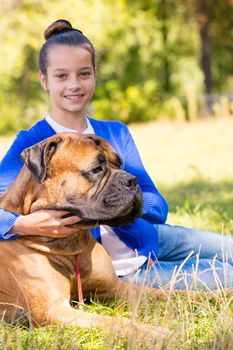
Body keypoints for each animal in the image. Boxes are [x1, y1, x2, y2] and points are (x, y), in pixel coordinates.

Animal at [0, 133, 166, 338]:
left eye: (120, 164)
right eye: (96, 169)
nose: (132, 180)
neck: (69, 244)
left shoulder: (117, 288)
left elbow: (167, 293)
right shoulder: (54, 310)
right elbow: (114, 321)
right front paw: (152, 331)